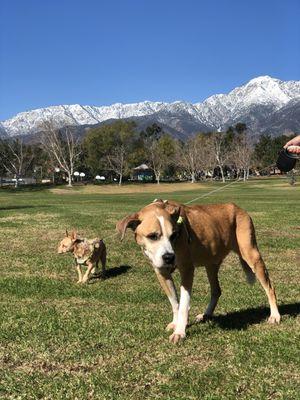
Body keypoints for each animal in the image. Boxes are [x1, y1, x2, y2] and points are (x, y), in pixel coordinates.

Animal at [116, 200, 280, 344]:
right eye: (152, 236)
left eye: (174, 235)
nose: (169, 257)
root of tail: (238, 208)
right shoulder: (161, 272)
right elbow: (175, 302)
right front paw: (176, 323)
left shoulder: (187, 270)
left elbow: (183, 304)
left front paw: (180, 332)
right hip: (211, 264)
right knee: (216, 290)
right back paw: (206, 314)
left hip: (251, 255)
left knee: (270, 287)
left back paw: (275, 315)